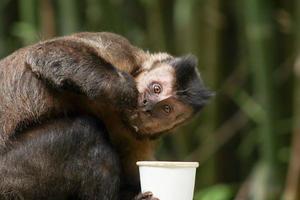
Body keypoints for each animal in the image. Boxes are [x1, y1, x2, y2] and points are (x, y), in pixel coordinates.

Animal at [0, 32, 212, 199]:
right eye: (156, 89)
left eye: (166, 109)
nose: (148, 105)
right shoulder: (122, 51)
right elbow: (46, 52)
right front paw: (126, 90)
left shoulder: (140, 140)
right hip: (9, 180)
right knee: (84, 133)